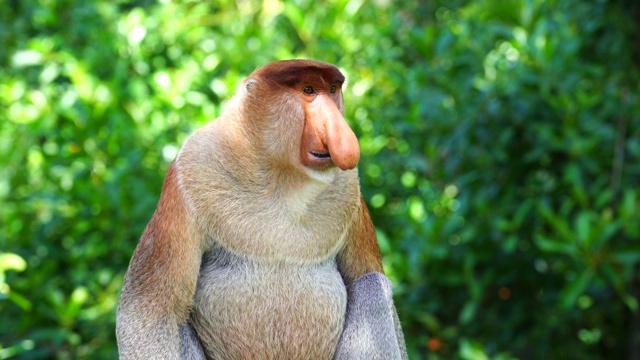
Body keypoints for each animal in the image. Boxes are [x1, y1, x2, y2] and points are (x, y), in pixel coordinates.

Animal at [117, 59, 408, 360]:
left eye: (332, 90)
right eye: (308, 90)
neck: (281, 179)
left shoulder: (350, 191)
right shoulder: (189, 172)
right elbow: (151, 312)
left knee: (373, 285)